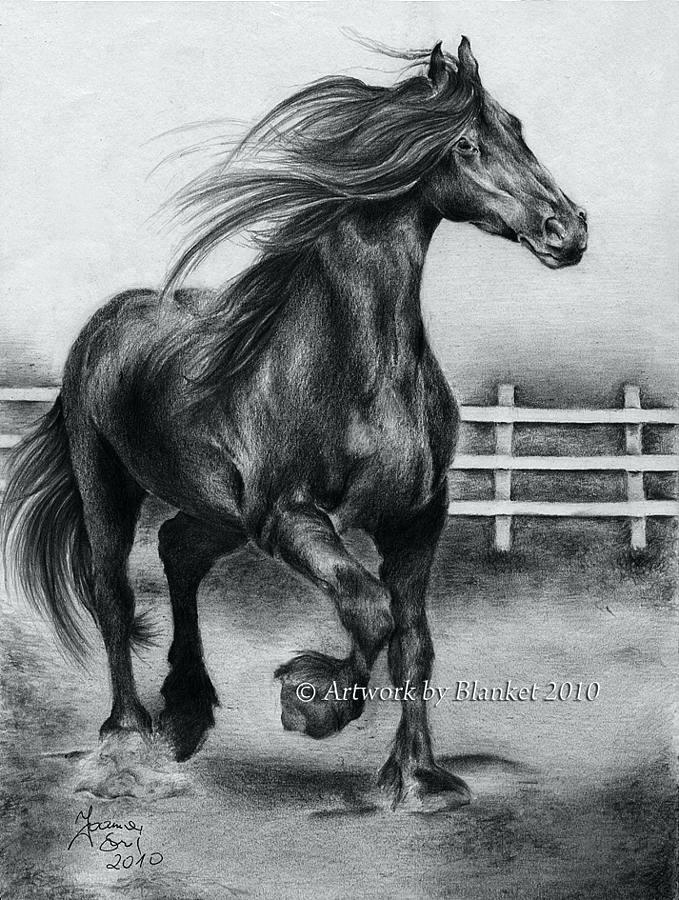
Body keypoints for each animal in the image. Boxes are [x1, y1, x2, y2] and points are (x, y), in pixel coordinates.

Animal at [0, 36, 586, 812]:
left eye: (517, 128)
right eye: (463, 144)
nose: (567, 230)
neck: (355, 366)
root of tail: (107, 320)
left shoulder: (417, 520)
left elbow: (413, 643)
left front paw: (416, 782)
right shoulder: (290, 517)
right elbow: (369, 609)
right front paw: (311, 702)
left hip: (216, 510)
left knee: (178, 550)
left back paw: (188, 709)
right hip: (108, 487)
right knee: (112, 594)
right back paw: (129, 744)